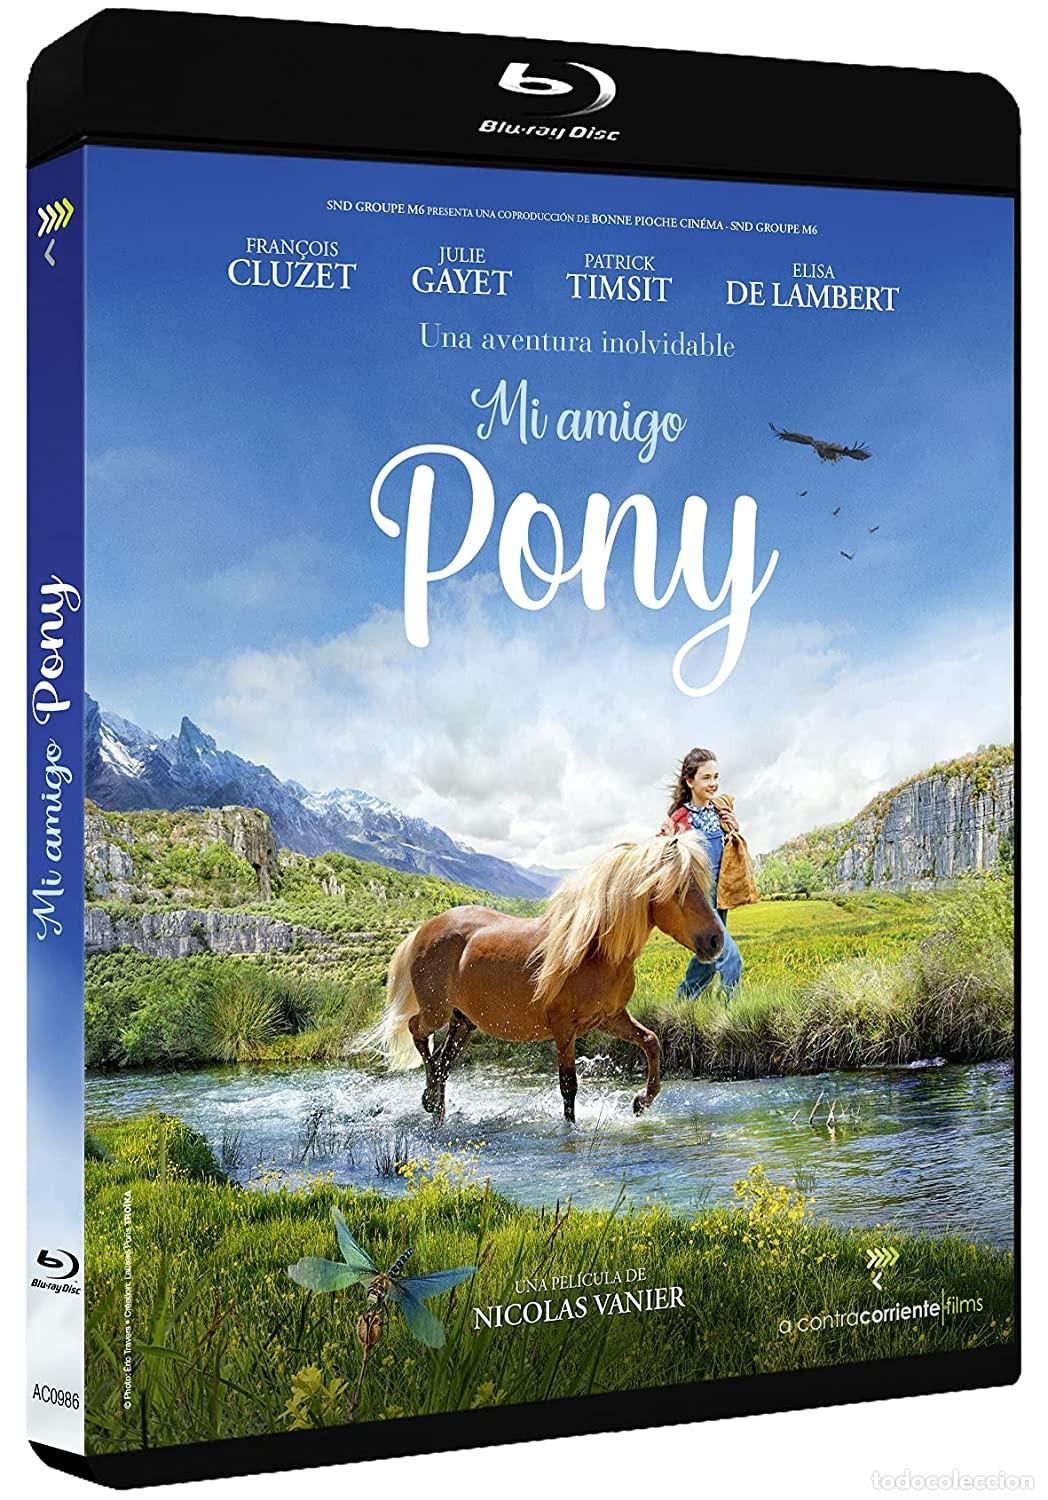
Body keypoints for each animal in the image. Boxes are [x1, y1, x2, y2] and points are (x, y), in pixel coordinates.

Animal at [355, 834, 723, 1124]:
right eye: (678, 888)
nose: (716, 941)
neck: (594, 952)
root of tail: (423, 930)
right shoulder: (564, 1029)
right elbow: (569, 1086)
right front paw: (572, 1129)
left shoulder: (611, 1018)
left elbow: (651, 1042)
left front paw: (639, 1103)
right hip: (438, 1012)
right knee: (417, 1030)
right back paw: (430, 1096)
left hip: (464, 1022)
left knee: (444, 1061)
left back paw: (436, 1106)